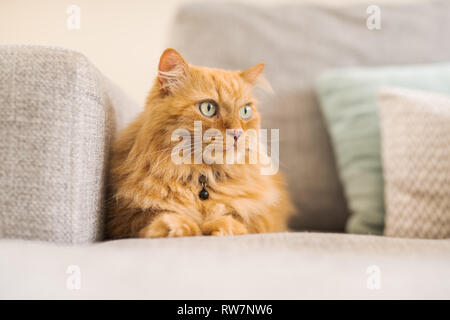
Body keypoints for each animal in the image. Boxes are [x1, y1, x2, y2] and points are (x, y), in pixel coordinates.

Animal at [105, 48, 292, 238]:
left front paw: (221, 226)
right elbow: (151, 218)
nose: (237, 133)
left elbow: (241, 221)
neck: (201, 177)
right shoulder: (122, 217)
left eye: (245, 111)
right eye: (208, 108)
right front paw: (176, 227)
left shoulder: (267, 218)